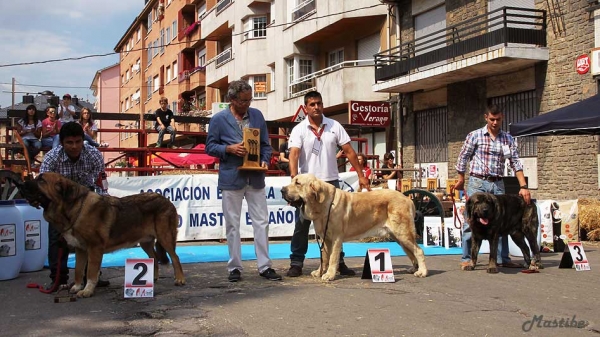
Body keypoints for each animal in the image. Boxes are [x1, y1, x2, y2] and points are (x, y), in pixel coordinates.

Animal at [17, 172, 185, 296]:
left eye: (41, 180)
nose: (20, 184)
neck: (75, 209)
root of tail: (166, 200)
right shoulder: (80, 249)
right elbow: (78, 270)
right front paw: (77, 287)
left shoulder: (94, 248)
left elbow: (91, 271)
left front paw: (87, 290)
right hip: (145, 242)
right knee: (154, 257)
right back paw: (153, 277)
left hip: (165, 237)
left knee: (175, 258)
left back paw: (179, 279)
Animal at [282, 175, 426, 280]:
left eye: (298, 183)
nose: (282, 190)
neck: (322, 204)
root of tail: (408, 199)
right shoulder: (325, 238)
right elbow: (324, 257)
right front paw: (319, 272)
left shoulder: (336, 238)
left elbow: (333, 257)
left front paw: (329, 275)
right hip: (397, 236)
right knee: (411, 252)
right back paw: (415, 268)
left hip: (403, 233)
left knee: (418, 251)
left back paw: (422, 272)